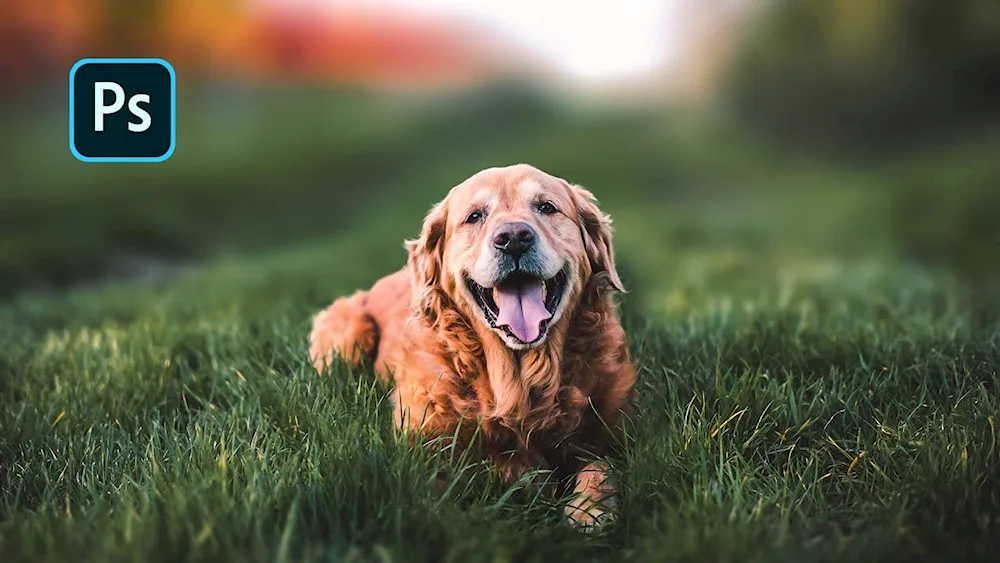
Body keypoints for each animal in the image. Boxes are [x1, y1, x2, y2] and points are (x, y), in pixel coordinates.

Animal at [308, 164, 636, 532]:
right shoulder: (422, 447)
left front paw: (588, 509)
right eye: (475, 216)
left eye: (547, 207)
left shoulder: (611, 435)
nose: (513, 237)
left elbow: (600, 465)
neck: (516, 382)